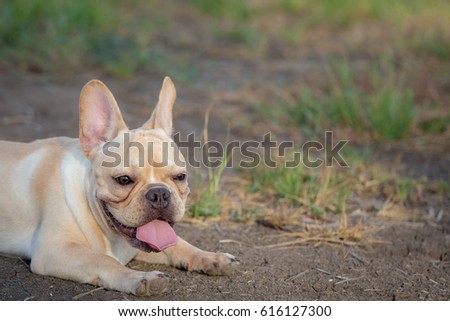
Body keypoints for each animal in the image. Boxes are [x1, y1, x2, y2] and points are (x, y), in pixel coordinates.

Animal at [0, 77, 237, 296]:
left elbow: (178, 244)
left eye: (180, 177)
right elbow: (103, 261)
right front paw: (140, 278)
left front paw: (210, 257)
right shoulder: (55, 250)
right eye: (123, 180)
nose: (159, 193)